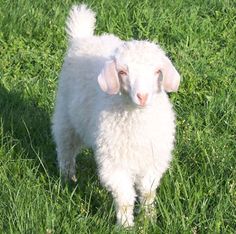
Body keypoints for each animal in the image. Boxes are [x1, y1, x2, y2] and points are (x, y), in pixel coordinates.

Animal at [51, 3, 181, 227]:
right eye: (122, 72)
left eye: (157, 71)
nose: (142, 96)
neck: (137, 120)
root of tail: (83, 39)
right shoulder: (114, 164)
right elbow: (125, 198)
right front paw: (126, 225)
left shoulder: (153, 161)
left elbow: (147, 192)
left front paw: (149, 219)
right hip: (65, 117)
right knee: (66, 149)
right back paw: (68, 179)